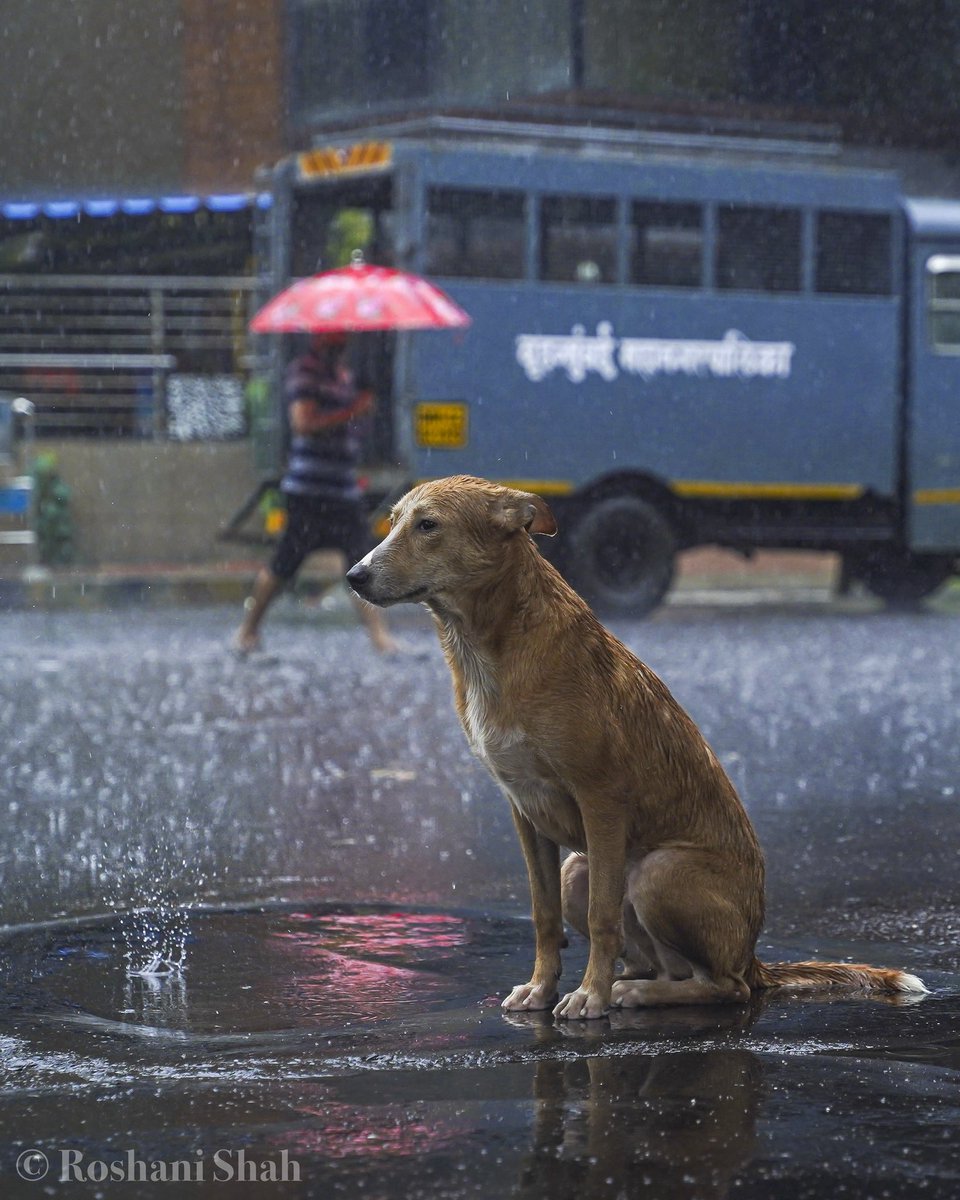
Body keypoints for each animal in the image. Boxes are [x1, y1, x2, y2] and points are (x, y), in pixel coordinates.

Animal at [345, 472, 921, 1017]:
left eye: (429, 525)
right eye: (393, 521)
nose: (354, 576)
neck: (490, 645)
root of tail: (754, 956)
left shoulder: (600, 799)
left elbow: (602, 917)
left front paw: (588, 996)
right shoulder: (524, 810)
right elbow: (542, 913)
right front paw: (542, 988)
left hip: (657, 871)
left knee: (724, 987)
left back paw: (631, 993)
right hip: (579, 869)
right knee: (660, 965)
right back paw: (634, 984)